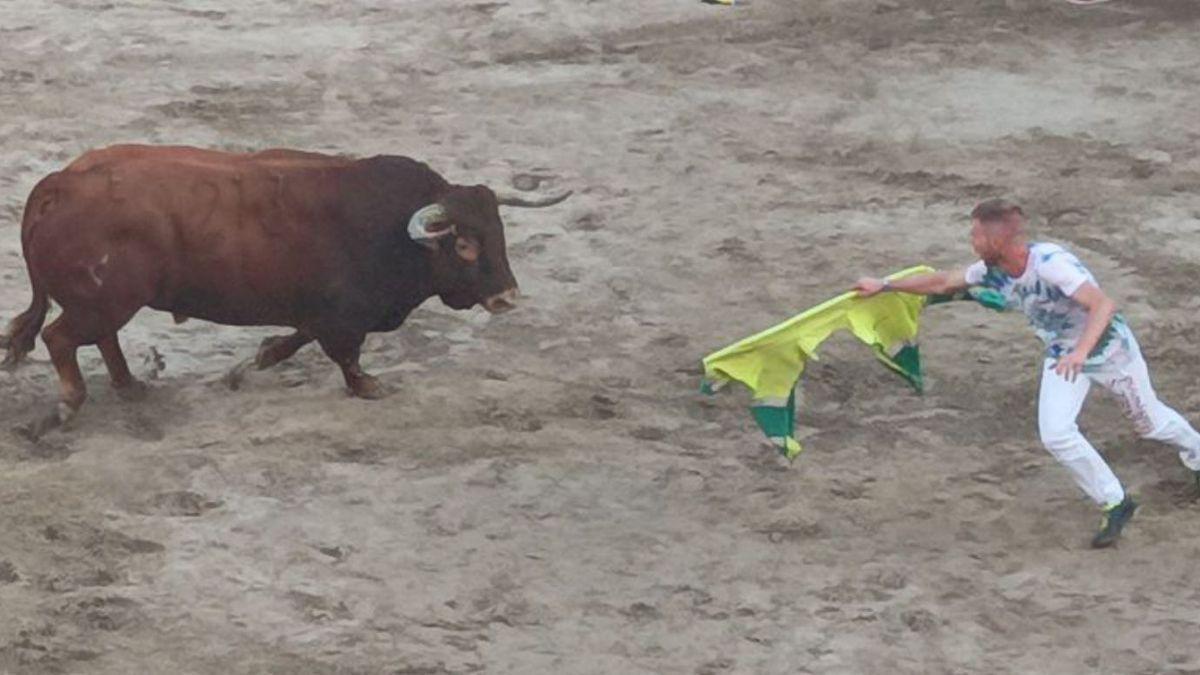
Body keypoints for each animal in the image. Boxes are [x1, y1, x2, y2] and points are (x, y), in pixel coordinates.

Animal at [1, 144, 571, 432]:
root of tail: (61, 184)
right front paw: (368, 386)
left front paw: (252, 362)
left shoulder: (320, 311)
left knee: (101, 338)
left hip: (110, 301)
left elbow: (297, 337)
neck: (390, 230)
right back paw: (69, 404)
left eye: (499, 233)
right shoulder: (344, 316)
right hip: (104, 300)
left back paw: (130, 385)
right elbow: (345, 355)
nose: (507, 297)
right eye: (465, 246)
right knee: (60, 338)